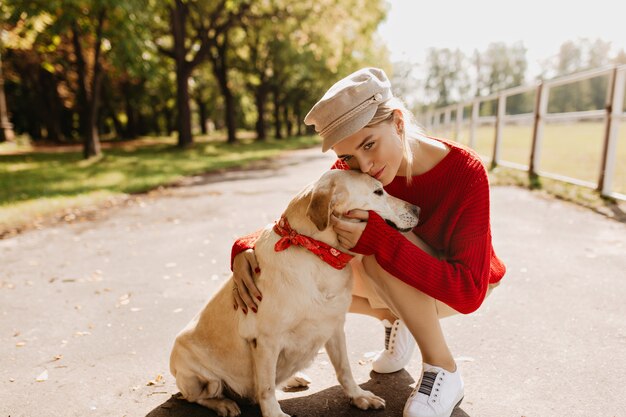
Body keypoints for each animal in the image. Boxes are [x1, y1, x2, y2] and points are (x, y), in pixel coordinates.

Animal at [168, 169, 416, 416]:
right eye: (378, 192)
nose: (417, 209)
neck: (318, 253)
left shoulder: (334, 326)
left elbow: (344, 369)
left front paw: (359, 396)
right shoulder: (266, 340)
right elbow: (266, 387)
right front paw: (274, 413)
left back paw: (292, 379)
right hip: (199, 374)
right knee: (198, 396)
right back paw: (224, 404)